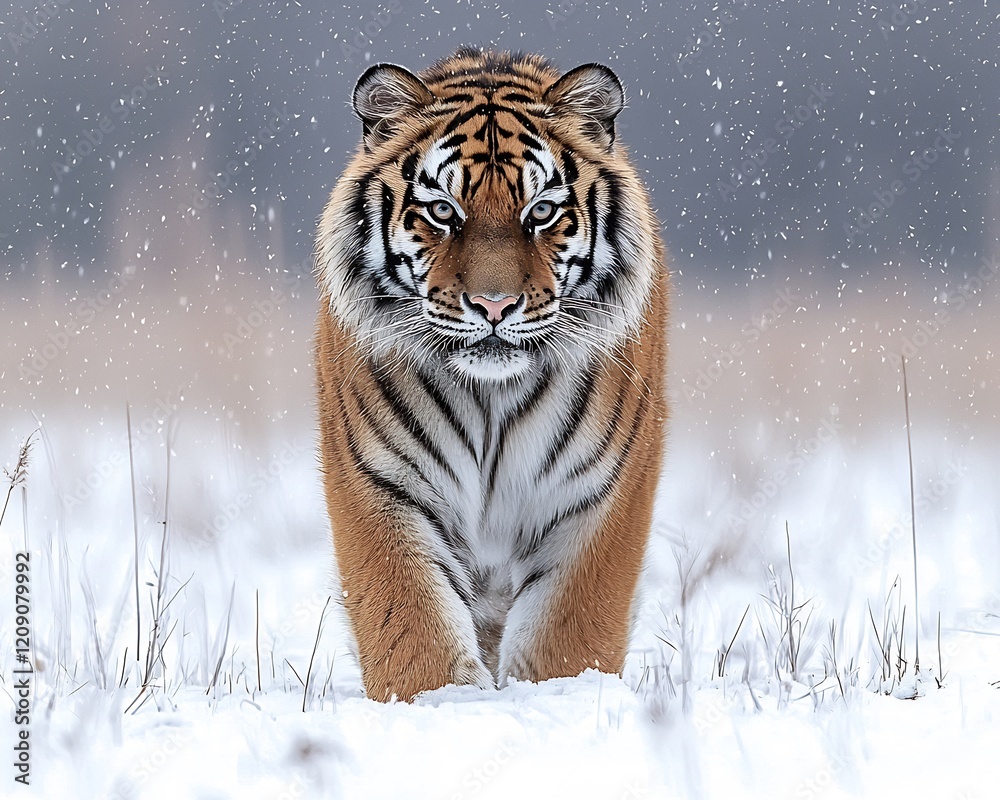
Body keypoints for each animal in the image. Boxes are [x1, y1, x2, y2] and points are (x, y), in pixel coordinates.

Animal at [314, 47, 669, 702]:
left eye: (542, 211)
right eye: (442, 211)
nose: (494, 305)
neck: (490, 399)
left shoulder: (599, 492)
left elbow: (568, 632)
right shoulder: (380, 480)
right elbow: (414, 621)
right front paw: (439, 702)